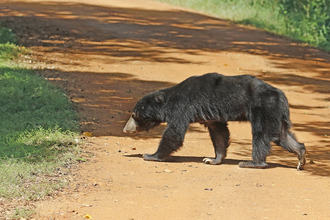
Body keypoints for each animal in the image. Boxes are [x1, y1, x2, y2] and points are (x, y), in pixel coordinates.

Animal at [124, 72, 306, 170]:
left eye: (134, 115)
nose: (126, 129)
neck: (167, 100)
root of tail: (281, 96)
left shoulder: (183, 107)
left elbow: (174, 133)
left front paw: (150, 155)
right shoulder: (212, 117)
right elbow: (220, 133)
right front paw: (212, 159)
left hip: (263, 108)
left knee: (261, 135)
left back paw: (252, 162)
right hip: (275, 113)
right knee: (281, 135)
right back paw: (301, 156)